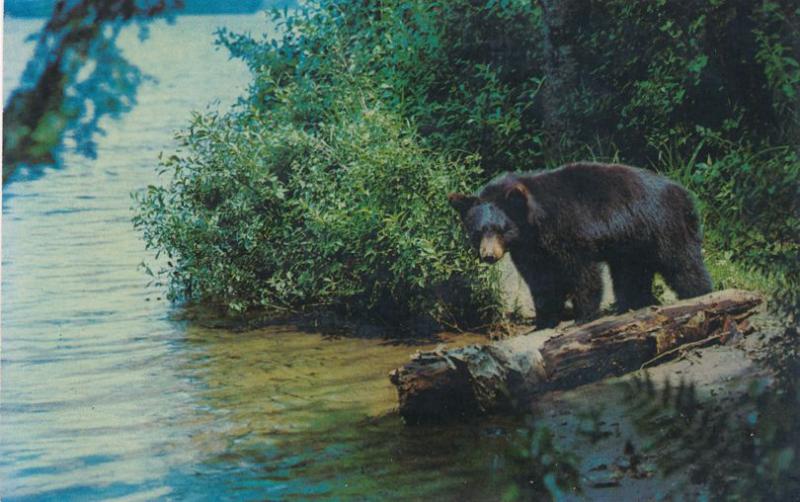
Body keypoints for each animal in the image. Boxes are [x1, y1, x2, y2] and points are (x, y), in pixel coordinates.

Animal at [450, 163, 712, 332]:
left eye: (500, 228)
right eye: (477, 231)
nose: (488, 255)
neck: (534, 224)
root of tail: (684, 193)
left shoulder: (568, 227)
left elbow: (581, 271)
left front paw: (582, 316)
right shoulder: (530, 249)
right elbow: (540, 280)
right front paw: (543, 320)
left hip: (661, 225)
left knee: (681, 262)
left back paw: (700, 293)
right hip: (633, 242)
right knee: (630, 273)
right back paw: (633, 304)